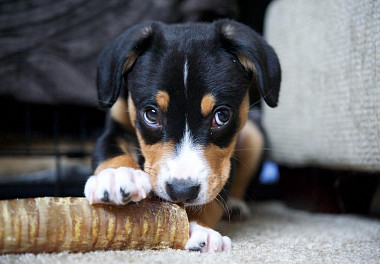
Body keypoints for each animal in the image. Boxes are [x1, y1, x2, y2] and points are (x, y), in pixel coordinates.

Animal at [84, 19, 280, 253]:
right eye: (151, 114)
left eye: (222, 116)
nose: (182, 190)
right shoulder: (115, 125)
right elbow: (110, 151)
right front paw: (118, 175)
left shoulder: (223, 163)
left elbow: (212, 199)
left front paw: (199, 228)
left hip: (253, 134)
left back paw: (235, 206)